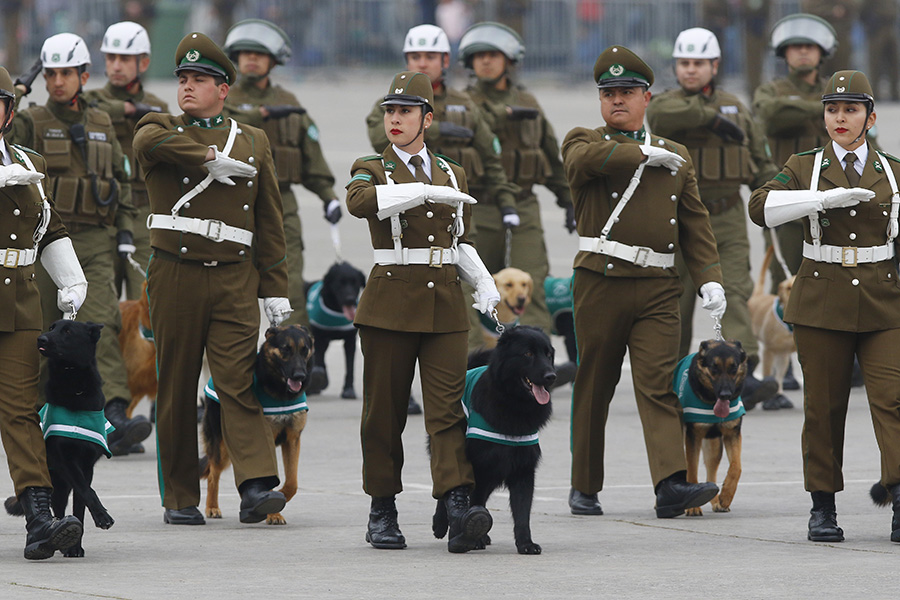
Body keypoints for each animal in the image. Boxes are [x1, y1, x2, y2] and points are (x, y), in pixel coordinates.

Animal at [5, 318, 115, 556]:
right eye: (51, 327)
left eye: (68, 331)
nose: (41, 339)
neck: (75, 389)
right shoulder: (65, 459)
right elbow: (87, 491)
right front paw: (102, 516)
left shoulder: (86, 465)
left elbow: (81, 502)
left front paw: (75, 546)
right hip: (57, 480)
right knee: (57, 506)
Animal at [201, 324, 316, 524]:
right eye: (286, 349)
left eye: (304, 350)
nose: (300, 376)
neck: (280, 391)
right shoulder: (264, 438)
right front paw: (273, 510)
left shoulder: (292, 439)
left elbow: (292, 482)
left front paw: (278, 499)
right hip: (222, 445)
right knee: (213, 474)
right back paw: (212, 507)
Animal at [306, 262, 366, 398]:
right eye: (340, 283)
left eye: (355, 282)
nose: (350, 299)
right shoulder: (319, 338)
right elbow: (319, 360)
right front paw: (321, 380)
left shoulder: (350, 340)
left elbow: (350, 367)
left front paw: (349, 390)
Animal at [434, 326, 556, 556]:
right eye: (528, 353)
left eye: (548, 354)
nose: (551, 376)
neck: (513, 404)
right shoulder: (479, 466)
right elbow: (472, 499)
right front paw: (472, 536)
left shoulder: (522, 470)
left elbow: (522, 513)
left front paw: (525, 544)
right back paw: (441, 524)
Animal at [680, 340, 748, 516]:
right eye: (714, 368)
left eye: (733, 368)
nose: (725, 395)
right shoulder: (693, 436)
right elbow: (692, 469)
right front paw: (692, 506)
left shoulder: (732, 434)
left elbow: (736, 467)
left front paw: (726, 496)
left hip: (714, 445)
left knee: (711, 473)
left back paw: (716, 500)